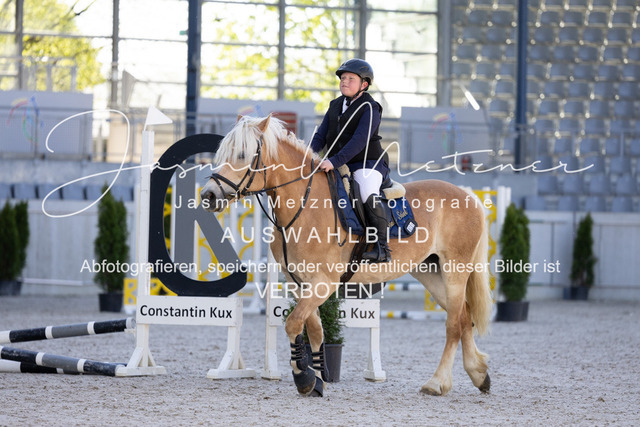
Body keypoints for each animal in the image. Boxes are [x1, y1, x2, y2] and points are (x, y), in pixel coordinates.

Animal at [201, 114, 493, 397]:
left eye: (242, 154)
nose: (208, 195)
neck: (305, 205)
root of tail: (469, 196)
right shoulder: (299, 282)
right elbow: (313, 329)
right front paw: (318, 380)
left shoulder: (323, 282)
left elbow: (294, 323)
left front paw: (304, 379)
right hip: (431, 273)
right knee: (464, 317)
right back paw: (479, 375)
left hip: (455, 271)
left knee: (453, 325)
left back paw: (437, 383)